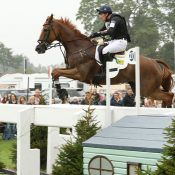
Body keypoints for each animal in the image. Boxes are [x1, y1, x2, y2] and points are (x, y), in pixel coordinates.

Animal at [35, 14, 174, 106]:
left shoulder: (80, 74)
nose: (38, 48)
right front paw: (62, 93)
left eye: (46, 29)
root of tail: (155, 62)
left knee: (169, 96)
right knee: (168, 96)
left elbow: (56, 72)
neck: (79, 48)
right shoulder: (71, 69)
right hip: (138, 87)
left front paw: (62, 94)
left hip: (147, 88)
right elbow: (55, 72)